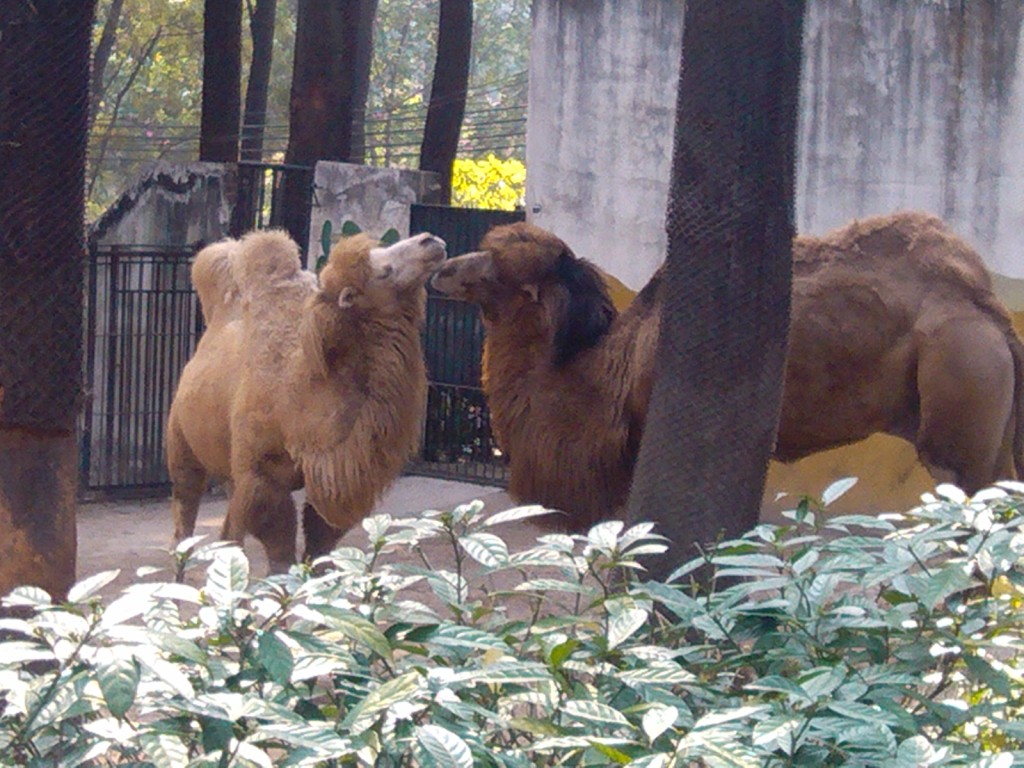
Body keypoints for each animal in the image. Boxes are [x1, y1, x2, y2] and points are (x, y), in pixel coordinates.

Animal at [430, 214, 1024, 532]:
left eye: (492, 268)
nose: (440, 265)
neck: (605, 372)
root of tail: (989, 309)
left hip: (958, 410)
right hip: (994, 433)